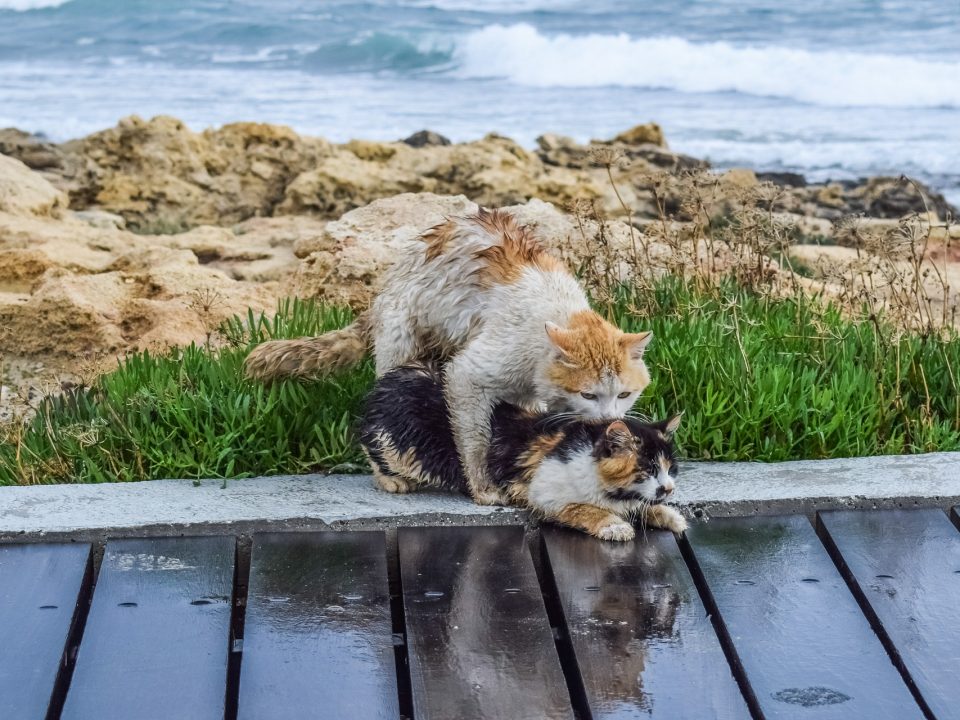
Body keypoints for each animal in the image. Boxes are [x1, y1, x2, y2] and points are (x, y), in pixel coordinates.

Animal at [244, 208, 656, 506]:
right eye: (588, 394)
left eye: (624, 395)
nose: (608, 421)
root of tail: (381, 291)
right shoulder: (469, 375)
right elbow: (475, 440)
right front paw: (483, 488)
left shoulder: (527, 393)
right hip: (401, 348)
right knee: (379, 410)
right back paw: (387, 476)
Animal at [358, 366, 684, 540]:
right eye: (648, 469)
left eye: (670, 469)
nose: (669, 488)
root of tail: (388, 382)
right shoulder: (545, 494)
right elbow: (583, 508)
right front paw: (614, 525)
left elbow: (643, 505)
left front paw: (669, 515)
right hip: (400, 444)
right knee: (370, 446)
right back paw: (393, 481)